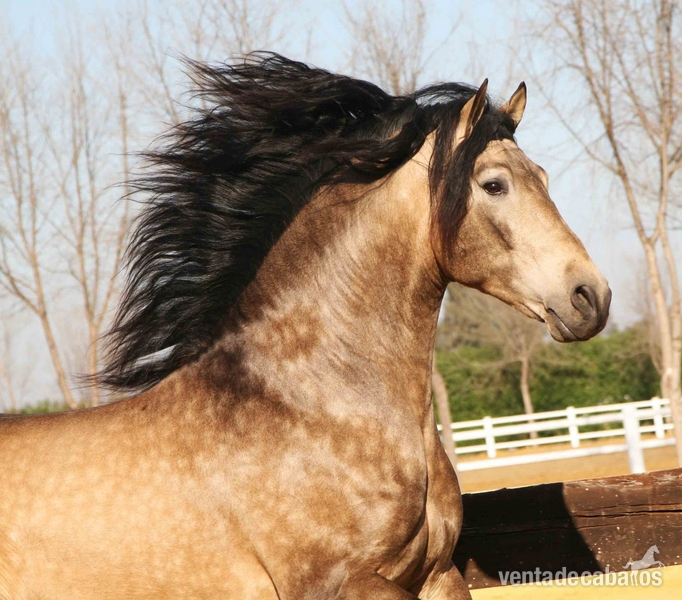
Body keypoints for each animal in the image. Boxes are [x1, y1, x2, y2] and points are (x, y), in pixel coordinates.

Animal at [0, 54, 610, 599]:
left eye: (544, 177)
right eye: (494, 185)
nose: (591, 296)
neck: (315, 404)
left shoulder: (438, 574)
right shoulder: (336, 583)